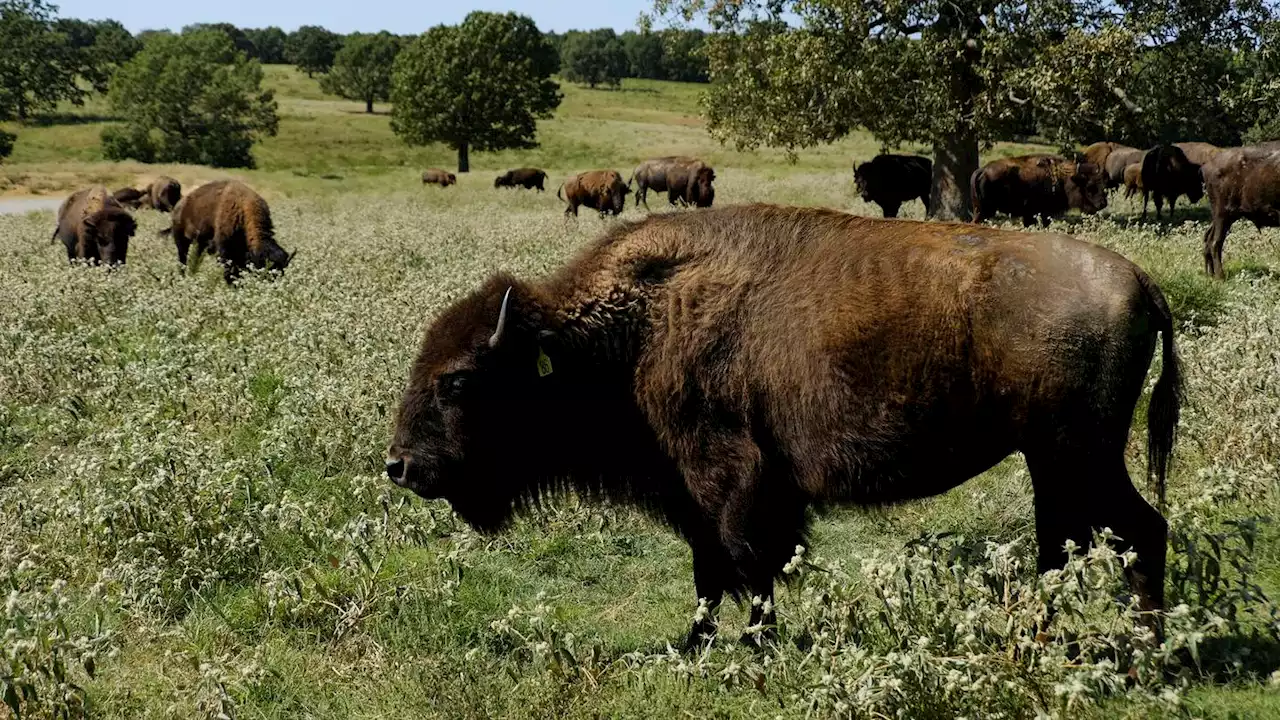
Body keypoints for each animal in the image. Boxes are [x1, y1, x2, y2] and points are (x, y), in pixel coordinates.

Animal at [160, 180, 293, 284]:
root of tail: (178, 205)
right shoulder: (225, 250)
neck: (243, 208)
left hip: (199, 245)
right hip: (181, 241)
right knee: (182, 259)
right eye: (263, 267)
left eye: (282, 271)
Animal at [386, 204, 1177, 648]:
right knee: (1064, 544)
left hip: (1080, 454)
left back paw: (1144, 654)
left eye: (458, 380)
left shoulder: (731, 480)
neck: (636, 328)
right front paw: (698, 641)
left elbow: (746, 562)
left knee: (1140, 530)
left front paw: (756, 645)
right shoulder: (698, 495)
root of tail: (1138, 279)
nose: (399, 466)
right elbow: (710, 570)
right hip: (1053, 460)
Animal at [967, 154, 1111, 224]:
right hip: (985, 211)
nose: (1103, 203)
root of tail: (982, 170)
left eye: (1102, 184)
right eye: (1089, 186)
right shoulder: (1040, 213)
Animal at [1198, 144, 1280, 278]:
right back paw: (1220, 276)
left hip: (1223, 216)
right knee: (1215, 242)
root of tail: (1206, 166)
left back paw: (1210, 274)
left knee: (1208, 237)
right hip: (1222, 214)